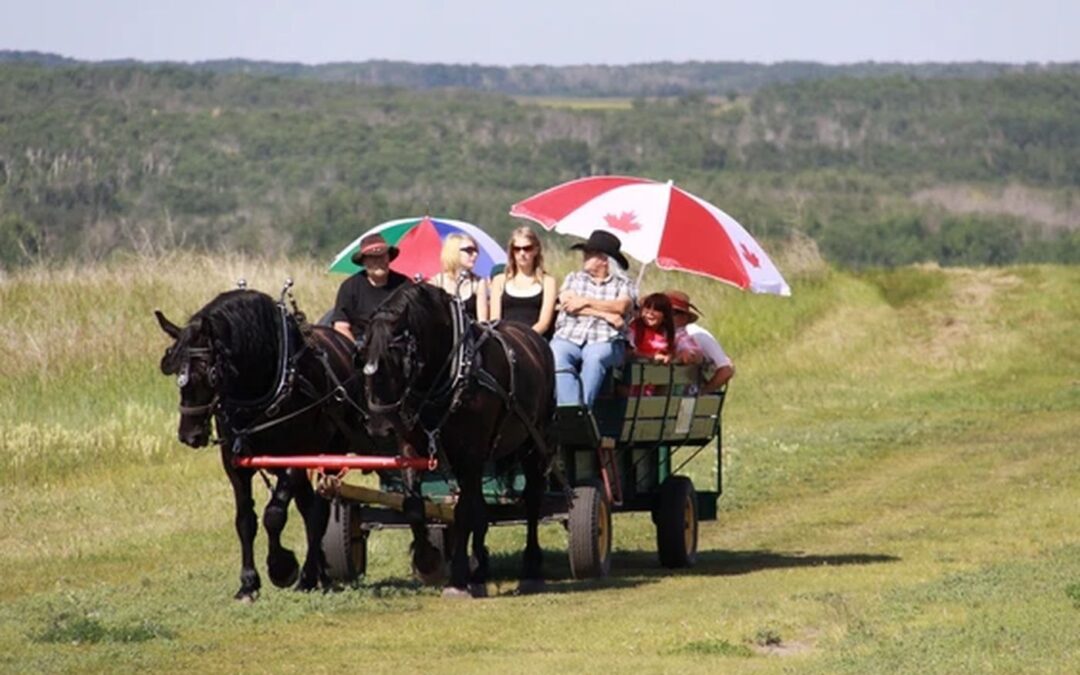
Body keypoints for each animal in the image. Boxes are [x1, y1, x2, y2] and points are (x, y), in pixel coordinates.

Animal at [154, 287, 369, 600]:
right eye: (173, 372)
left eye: (209, 373)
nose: (189, 435)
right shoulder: (234, 461)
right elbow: (245, 520)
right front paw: (248, 583)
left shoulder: (296, 456)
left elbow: (274, 515)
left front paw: (282, 566)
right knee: (309, 508)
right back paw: (318, 572)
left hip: (333, 450)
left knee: (318, 511)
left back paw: (309, 574)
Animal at [360, 282, 552, 596]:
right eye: (362, 357)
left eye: (398, 358)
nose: (379, 426)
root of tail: (534, 338)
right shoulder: (412, 447)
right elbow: (414, 506)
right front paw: (428, 562)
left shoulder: (470, 453)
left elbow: (462, 512)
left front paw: (459, 577)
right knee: (480, 507)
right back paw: (480, 568)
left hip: (534, 442)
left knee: (533, 499)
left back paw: (532, 568)